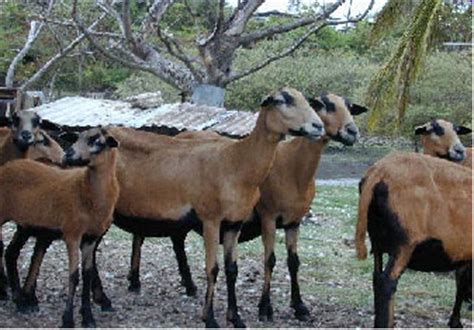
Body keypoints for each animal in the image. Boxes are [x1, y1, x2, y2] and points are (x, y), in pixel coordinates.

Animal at [0, 127, 118, 326]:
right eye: (77, 138)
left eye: (97, 141)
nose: (68, 153)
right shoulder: (72, 233)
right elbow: (73, 276)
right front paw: (68, 319)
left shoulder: (90, 237)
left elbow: (87, 275)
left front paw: (88, 317)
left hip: (25, 224)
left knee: (11, 252)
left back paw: (21, 302)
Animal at [356, 151, 470, 328]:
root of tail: (378, 172)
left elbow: (461, 279)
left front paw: (455, 322)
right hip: (404, 243)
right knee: (387, 283)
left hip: (377, 240)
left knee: (376, 278)